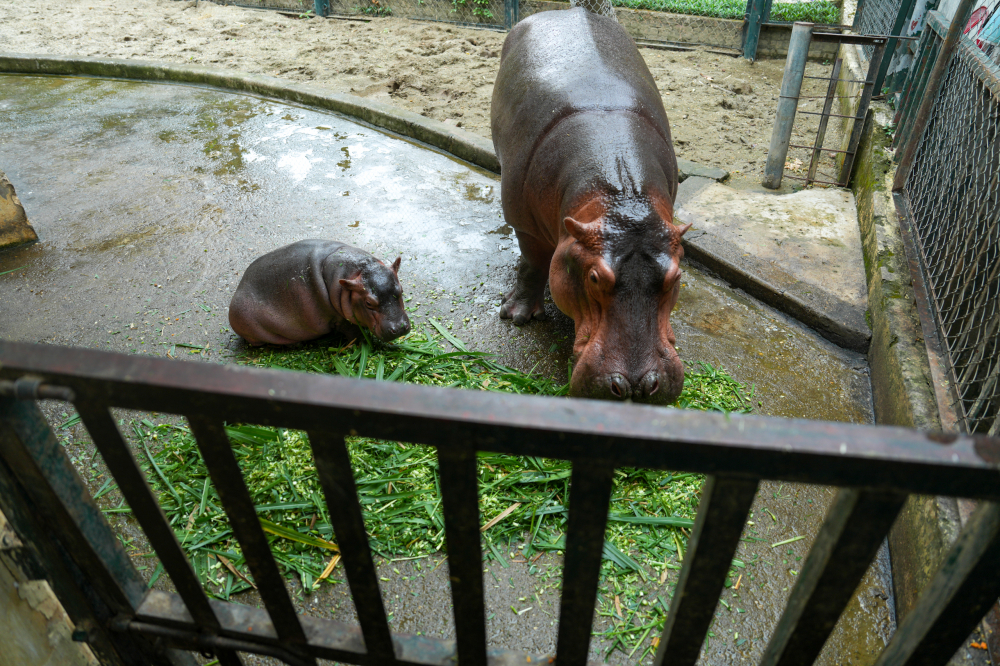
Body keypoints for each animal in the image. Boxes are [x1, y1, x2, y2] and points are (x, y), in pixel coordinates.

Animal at [229, 239, 410, 344]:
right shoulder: (339, 319)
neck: (358, 269)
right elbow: (354, 333)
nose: (399, 327)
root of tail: (240, 286)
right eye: (368, 302)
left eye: (401, 290)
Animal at [490, 7, 688, 402]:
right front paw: (516, 316)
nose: (637, 385)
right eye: (594, 277)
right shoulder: (525, 225)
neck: (623, 199)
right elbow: (533, 264)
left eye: (675, 277)